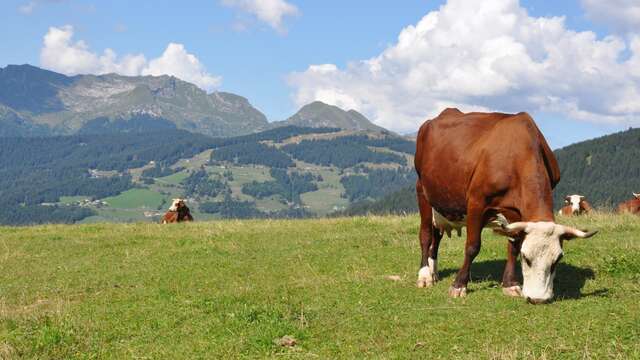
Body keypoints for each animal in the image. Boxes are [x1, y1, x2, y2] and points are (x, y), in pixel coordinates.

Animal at [412, 109, 596, 304]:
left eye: (557, 259)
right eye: (526, 257)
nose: (538, 299)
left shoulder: (516, 211)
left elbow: (513, 246)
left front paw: (510, 284)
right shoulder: (477, 202)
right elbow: (472, 246)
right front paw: (459, 285)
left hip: (440, 203)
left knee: (436, 235)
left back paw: (434, 271)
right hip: (422, 190)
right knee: (425, 235)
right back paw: (425, 275)